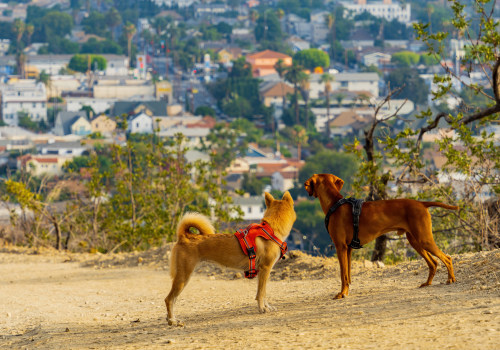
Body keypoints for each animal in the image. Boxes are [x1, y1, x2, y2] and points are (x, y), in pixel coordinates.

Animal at [166, 191, 294, 326]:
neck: (271, 230)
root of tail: (184, 237)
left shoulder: (263, 272)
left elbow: (263, 293)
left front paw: (266, 307)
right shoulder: (265, 269)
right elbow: (261, 293)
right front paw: (262, 308)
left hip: (183, 278)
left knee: (173, 299)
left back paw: (172, 319)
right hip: (183, 276)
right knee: (169, 299)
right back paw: (172, 320)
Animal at [302, 174, 458, 300]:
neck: (335, 204)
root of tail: (421, 203)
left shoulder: (340, 247)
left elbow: (343, 274)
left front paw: (341, 294)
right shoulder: (348, 249)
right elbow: (348, 274)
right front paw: (346, 291)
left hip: (423, 239)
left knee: (447, 258)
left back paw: (451, 279)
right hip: (415, 241)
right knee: (434, 263)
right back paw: (428, 283)